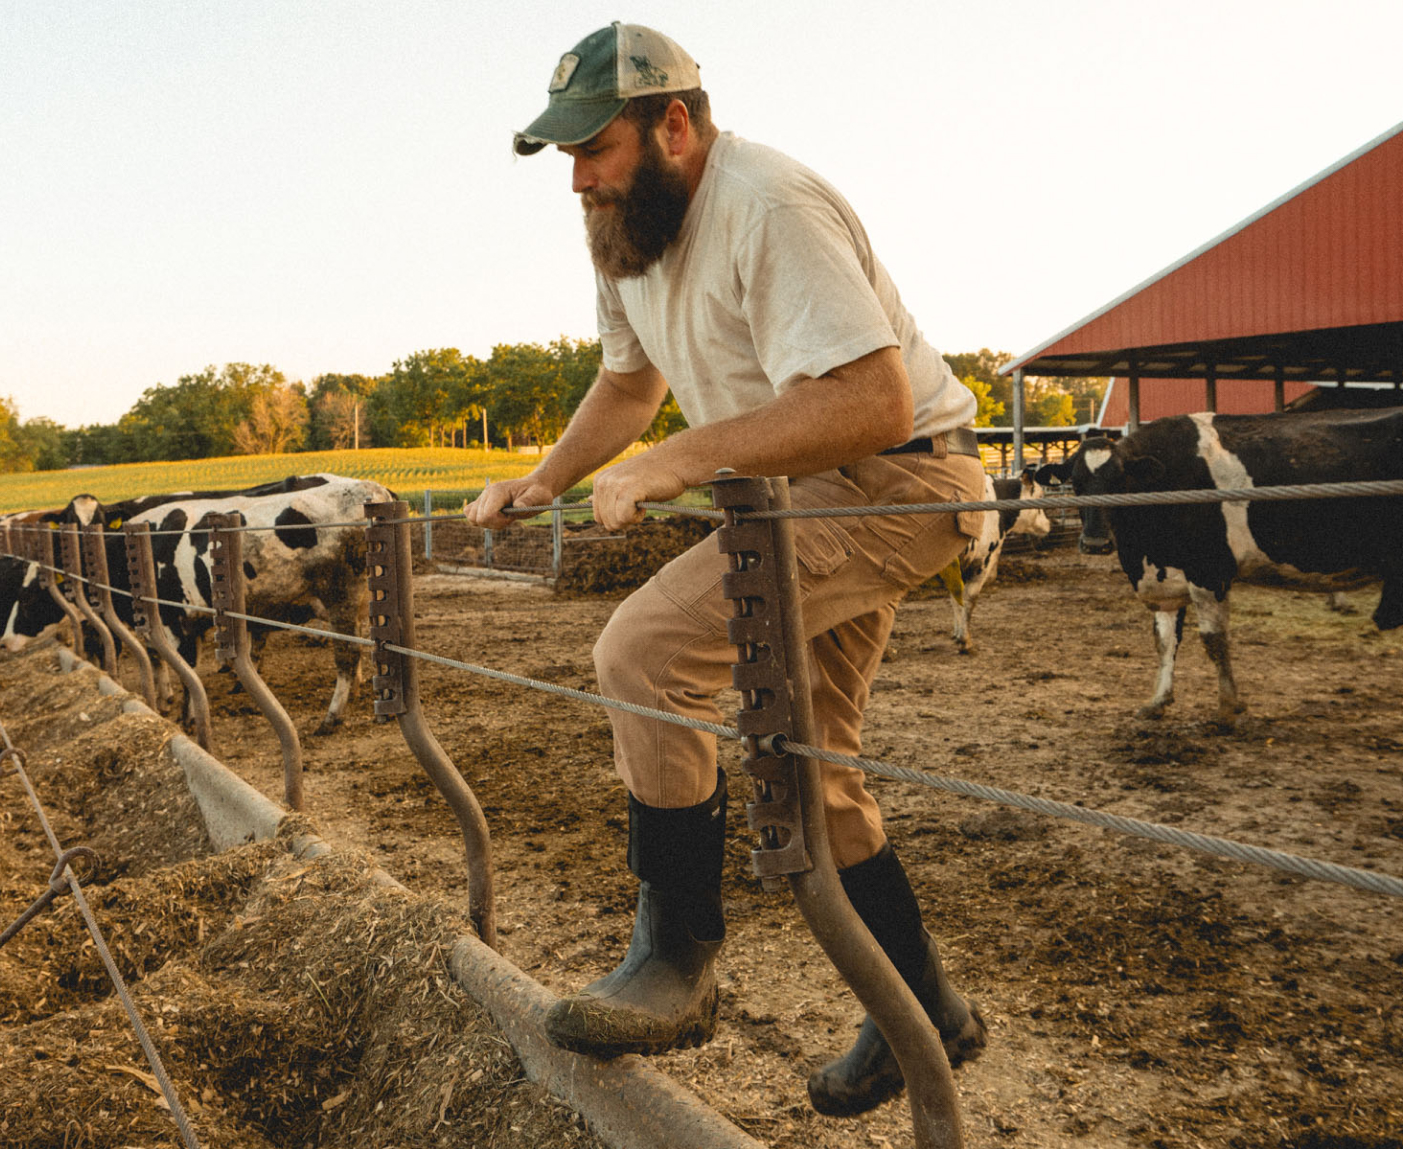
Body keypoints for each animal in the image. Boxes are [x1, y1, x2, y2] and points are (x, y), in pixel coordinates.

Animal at [937, 465, 1049, 648]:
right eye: (1040, 496)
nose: (1048, 524)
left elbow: (955, 598)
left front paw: (957, 634)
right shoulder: (981, 560)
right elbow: (969, 599)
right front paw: (965, 640)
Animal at [1032, 409, 1403, 723]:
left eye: (1120, 480)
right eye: (1076, 483)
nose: (1095, 543)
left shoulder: (1209, 571)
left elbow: (1214, 640)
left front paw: (1227, 708)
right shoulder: (1167, 579)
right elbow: (1164, 641)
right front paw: (1158, 701)